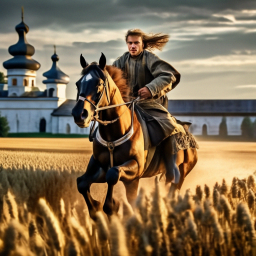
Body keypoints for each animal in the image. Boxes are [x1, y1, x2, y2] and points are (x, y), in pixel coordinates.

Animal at [72, 53, 198, 219]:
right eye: (78, 84)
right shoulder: (101, 167)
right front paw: (96, 209)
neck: (114, 133)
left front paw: (111, 207)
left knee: (173, 188)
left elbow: (113, 175)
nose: (79, 114)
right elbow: (81, 183)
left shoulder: (135, 170)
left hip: (182, 172)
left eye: (99, 84)